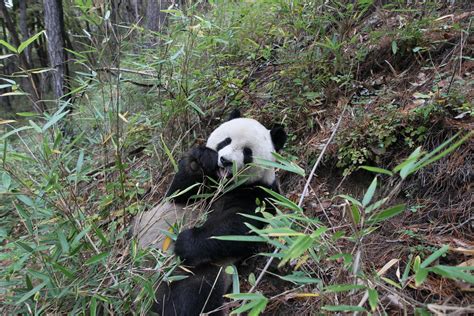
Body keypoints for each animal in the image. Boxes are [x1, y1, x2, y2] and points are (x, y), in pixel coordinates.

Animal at [134, 110, 288, 314]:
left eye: (247, 152)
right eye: (225, 141)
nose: (225, 161)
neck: (225, 185)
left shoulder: (259, 194)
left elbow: (238, 227)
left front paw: (185, 242)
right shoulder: (205, 186)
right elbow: (178, 194)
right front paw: (200, 160)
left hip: (200, 273)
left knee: (191, 297)